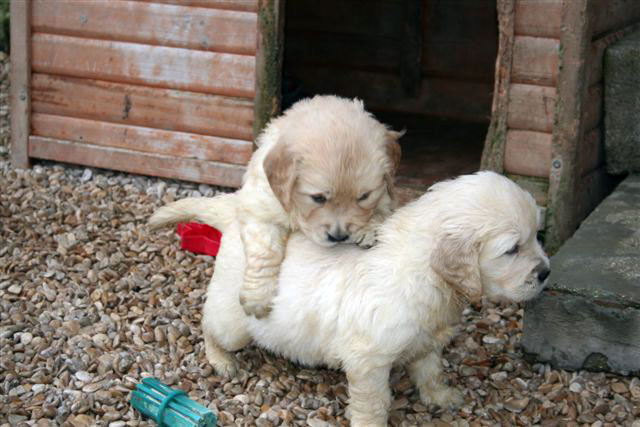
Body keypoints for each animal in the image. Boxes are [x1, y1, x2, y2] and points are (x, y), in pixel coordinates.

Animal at [149, 95, 400, 320]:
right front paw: (257, 298)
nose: (338, 236)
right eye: (318, 198)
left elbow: (382, 209)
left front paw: (368, 228)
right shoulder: (261, 210)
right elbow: (264, 253)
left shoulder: (386, 196)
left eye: (364, 196)